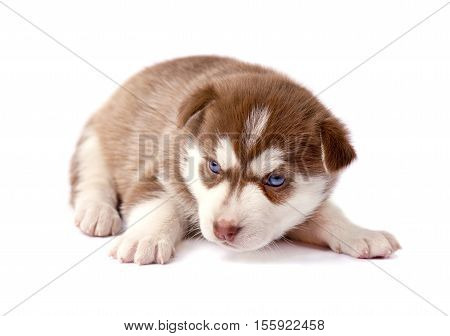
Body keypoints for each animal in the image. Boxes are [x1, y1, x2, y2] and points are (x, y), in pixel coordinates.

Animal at [70, 55, 400, 266]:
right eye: (214, 166)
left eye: (276, 179)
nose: (223, 230)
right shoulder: (157, 168)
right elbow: (158, 203)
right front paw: (146, 237)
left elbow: (324, 213)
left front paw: (360, 233)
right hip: (93, 138)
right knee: (91, 176)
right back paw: (96, 211)